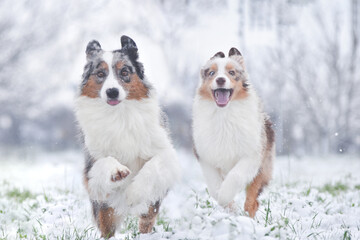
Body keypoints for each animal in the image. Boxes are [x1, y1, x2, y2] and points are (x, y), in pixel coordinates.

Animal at [75, 35, 180, 238]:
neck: (119, 115)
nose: (112, 91)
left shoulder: (165, 152)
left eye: (124, 71)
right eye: (100, 73)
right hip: (104, 207)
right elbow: (105, 161)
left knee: (146, 220)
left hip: (152, 204)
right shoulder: (92, 165)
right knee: (107, 227)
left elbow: (153, 166)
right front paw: (117, 171)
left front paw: (134, 193)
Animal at [193, 47, 274, 217]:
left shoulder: (252, 154)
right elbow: (214, 185)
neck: (225, 114)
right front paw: (228, 206)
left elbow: (235, 176)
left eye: (231, 72)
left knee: (253, 199)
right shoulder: (205, 155)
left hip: (264, 165)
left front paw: (226, 197)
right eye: (212, 73)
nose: (220, 80)